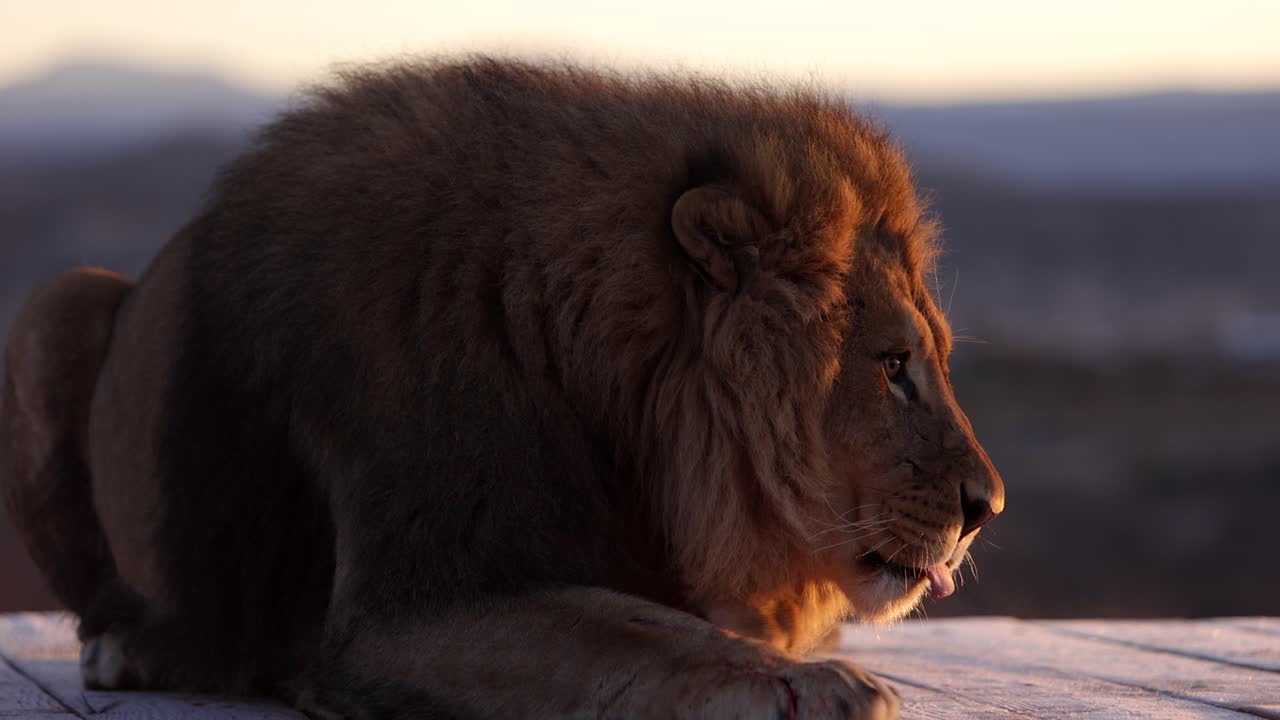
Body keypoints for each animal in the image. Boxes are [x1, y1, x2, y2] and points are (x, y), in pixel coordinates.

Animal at [1, 57, 1003, 719]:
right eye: (893, 366)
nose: (985, 507)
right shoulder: (402, 603)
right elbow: (633, 632)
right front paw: (819, 686)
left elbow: (650, 622)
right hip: (54, 306)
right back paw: (134, 648)